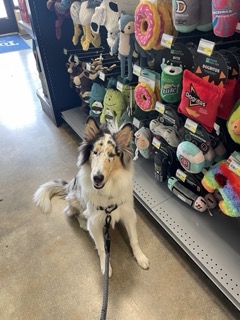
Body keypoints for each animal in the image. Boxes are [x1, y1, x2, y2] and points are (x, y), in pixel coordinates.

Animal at [32, 116, 149, 276]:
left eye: (111, 155)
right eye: (95, 152)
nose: (97, 178)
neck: (108, 188)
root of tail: (68, 186)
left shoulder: (128, 213)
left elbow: (134, 239)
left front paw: (140, 257)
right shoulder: (95, 221)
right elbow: (101, 248)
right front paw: (105, 267)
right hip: (74, 198)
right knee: (73, 212)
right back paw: (82, 222)